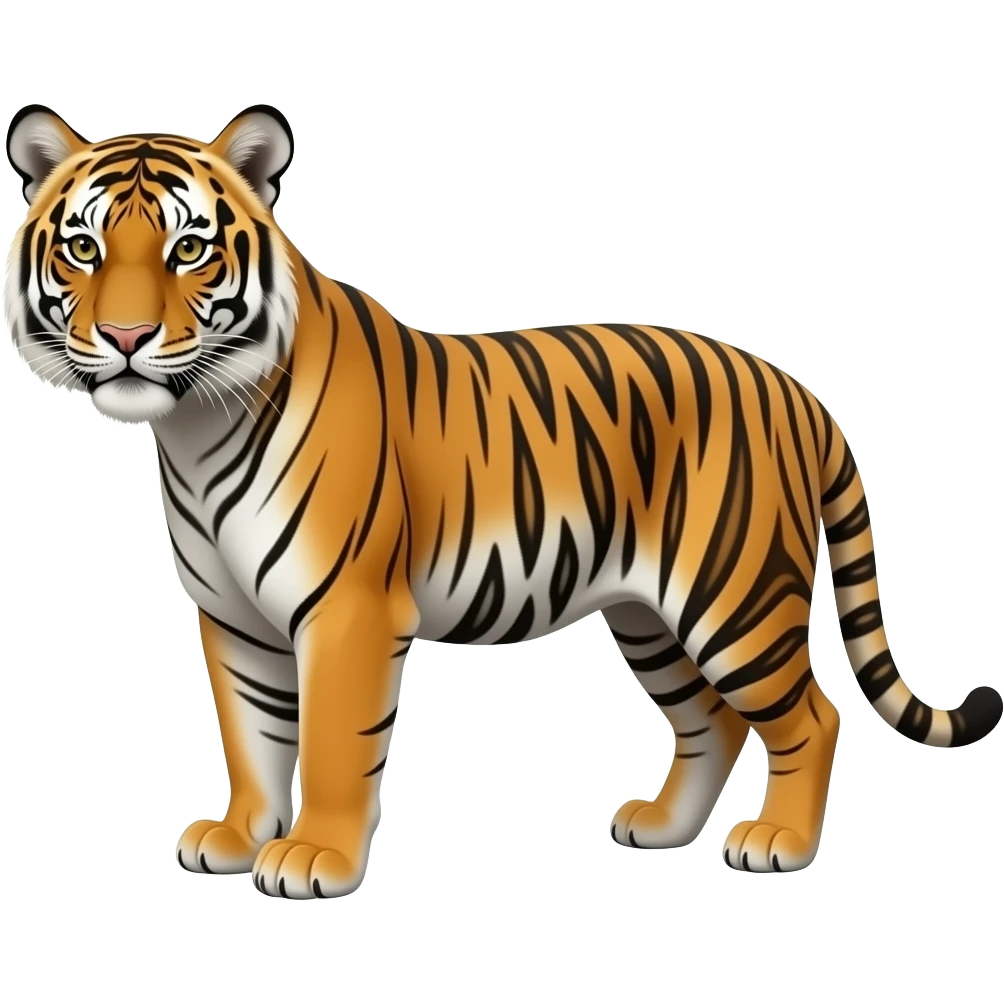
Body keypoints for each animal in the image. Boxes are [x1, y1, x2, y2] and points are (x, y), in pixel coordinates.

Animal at [3, 102, 1001, 900]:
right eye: (84, 247)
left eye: (190, 249)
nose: (125, 336)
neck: (195, 427)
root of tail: (796, 389)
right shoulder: (233, 617)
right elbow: (252, 734)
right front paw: (239, 835)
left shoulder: (347, 609)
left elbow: (327, 744)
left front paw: (314, 859)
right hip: (650, 616)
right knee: (710, 720)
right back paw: (662, 828)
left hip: (736, 598)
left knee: (812, 716)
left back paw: (780, 843)